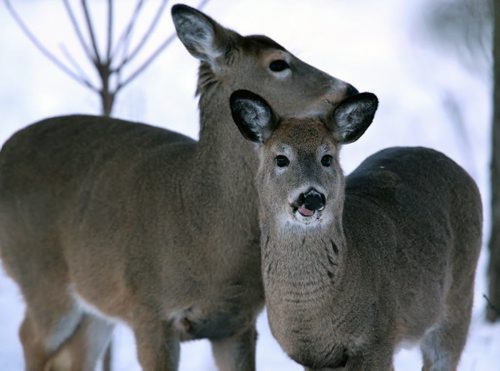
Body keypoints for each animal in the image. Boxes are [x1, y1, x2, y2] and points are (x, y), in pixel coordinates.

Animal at [0, 2, 360, 371]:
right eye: (277, 63)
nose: (348, 89)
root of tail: (5, 151)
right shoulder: (150, 311)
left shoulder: (237, 323)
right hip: (40, 275)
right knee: (30, 335)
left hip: (95, 301)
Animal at [230, 88, 484, 370]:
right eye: (281, 158)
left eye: (326, 158)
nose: (312, 197)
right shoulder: (314, 359)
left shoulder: (378, 338)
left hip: (459, 295)